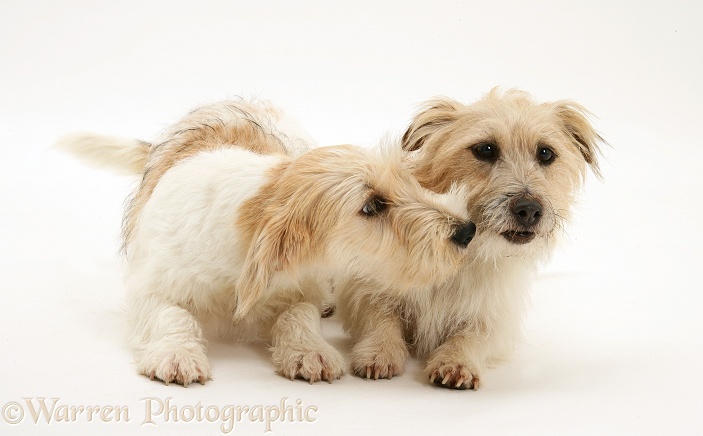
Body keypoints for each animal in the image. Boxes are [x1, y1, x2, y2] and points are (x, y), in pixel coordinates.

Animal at [57, 100, 476, 386]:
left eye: (408, 182)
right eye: (372, 206)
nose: (466, 231)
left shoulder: (302, 286)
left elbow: (299, 313)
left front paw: (309, 351)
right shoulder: (149, 289)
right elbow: (172, 314)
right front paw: (177, 355)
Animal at [338, 87, 604, 388]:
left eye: (546, 153)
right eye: (485, 149)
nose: (529, 209)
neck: (464, 255)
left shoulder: (495, 319)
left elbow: (473, 336)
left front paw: (456, 360)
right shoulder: (363, 288)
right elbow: (381, 319)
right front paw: (379, 351)